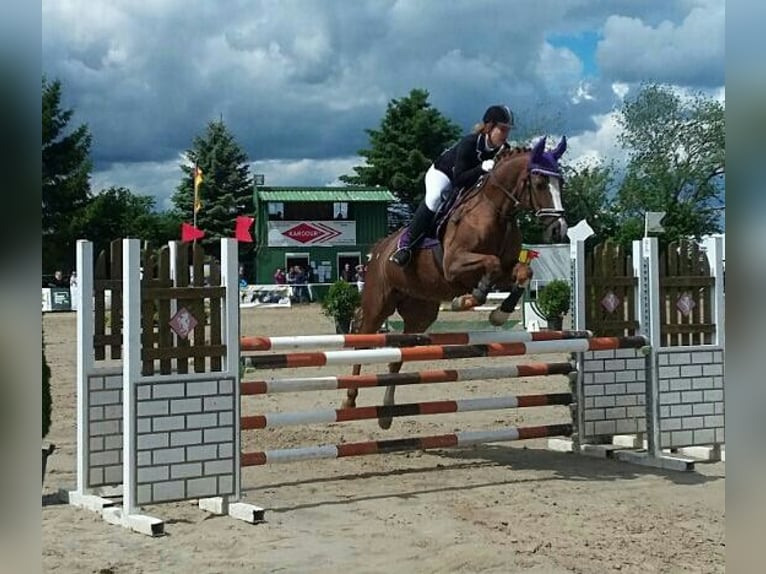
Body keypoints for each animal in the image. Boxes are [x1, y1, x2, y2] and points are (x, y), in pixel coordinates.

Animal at [344, 137, 568, 430]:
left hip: (420, 313)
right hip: (378, 303)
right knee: (362, 340)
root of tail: (378, 249)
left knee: (400, 355)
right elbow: (491, 264)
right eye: (540, 183)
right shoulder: (453, 266)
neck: (496, 211)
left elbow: (522, 273)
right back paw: (350, 398)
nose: (559, 230)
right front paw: (467, 300)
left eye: (561, 184)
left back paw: (386, 413)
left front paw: (499, 313)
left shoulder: (507, 269)